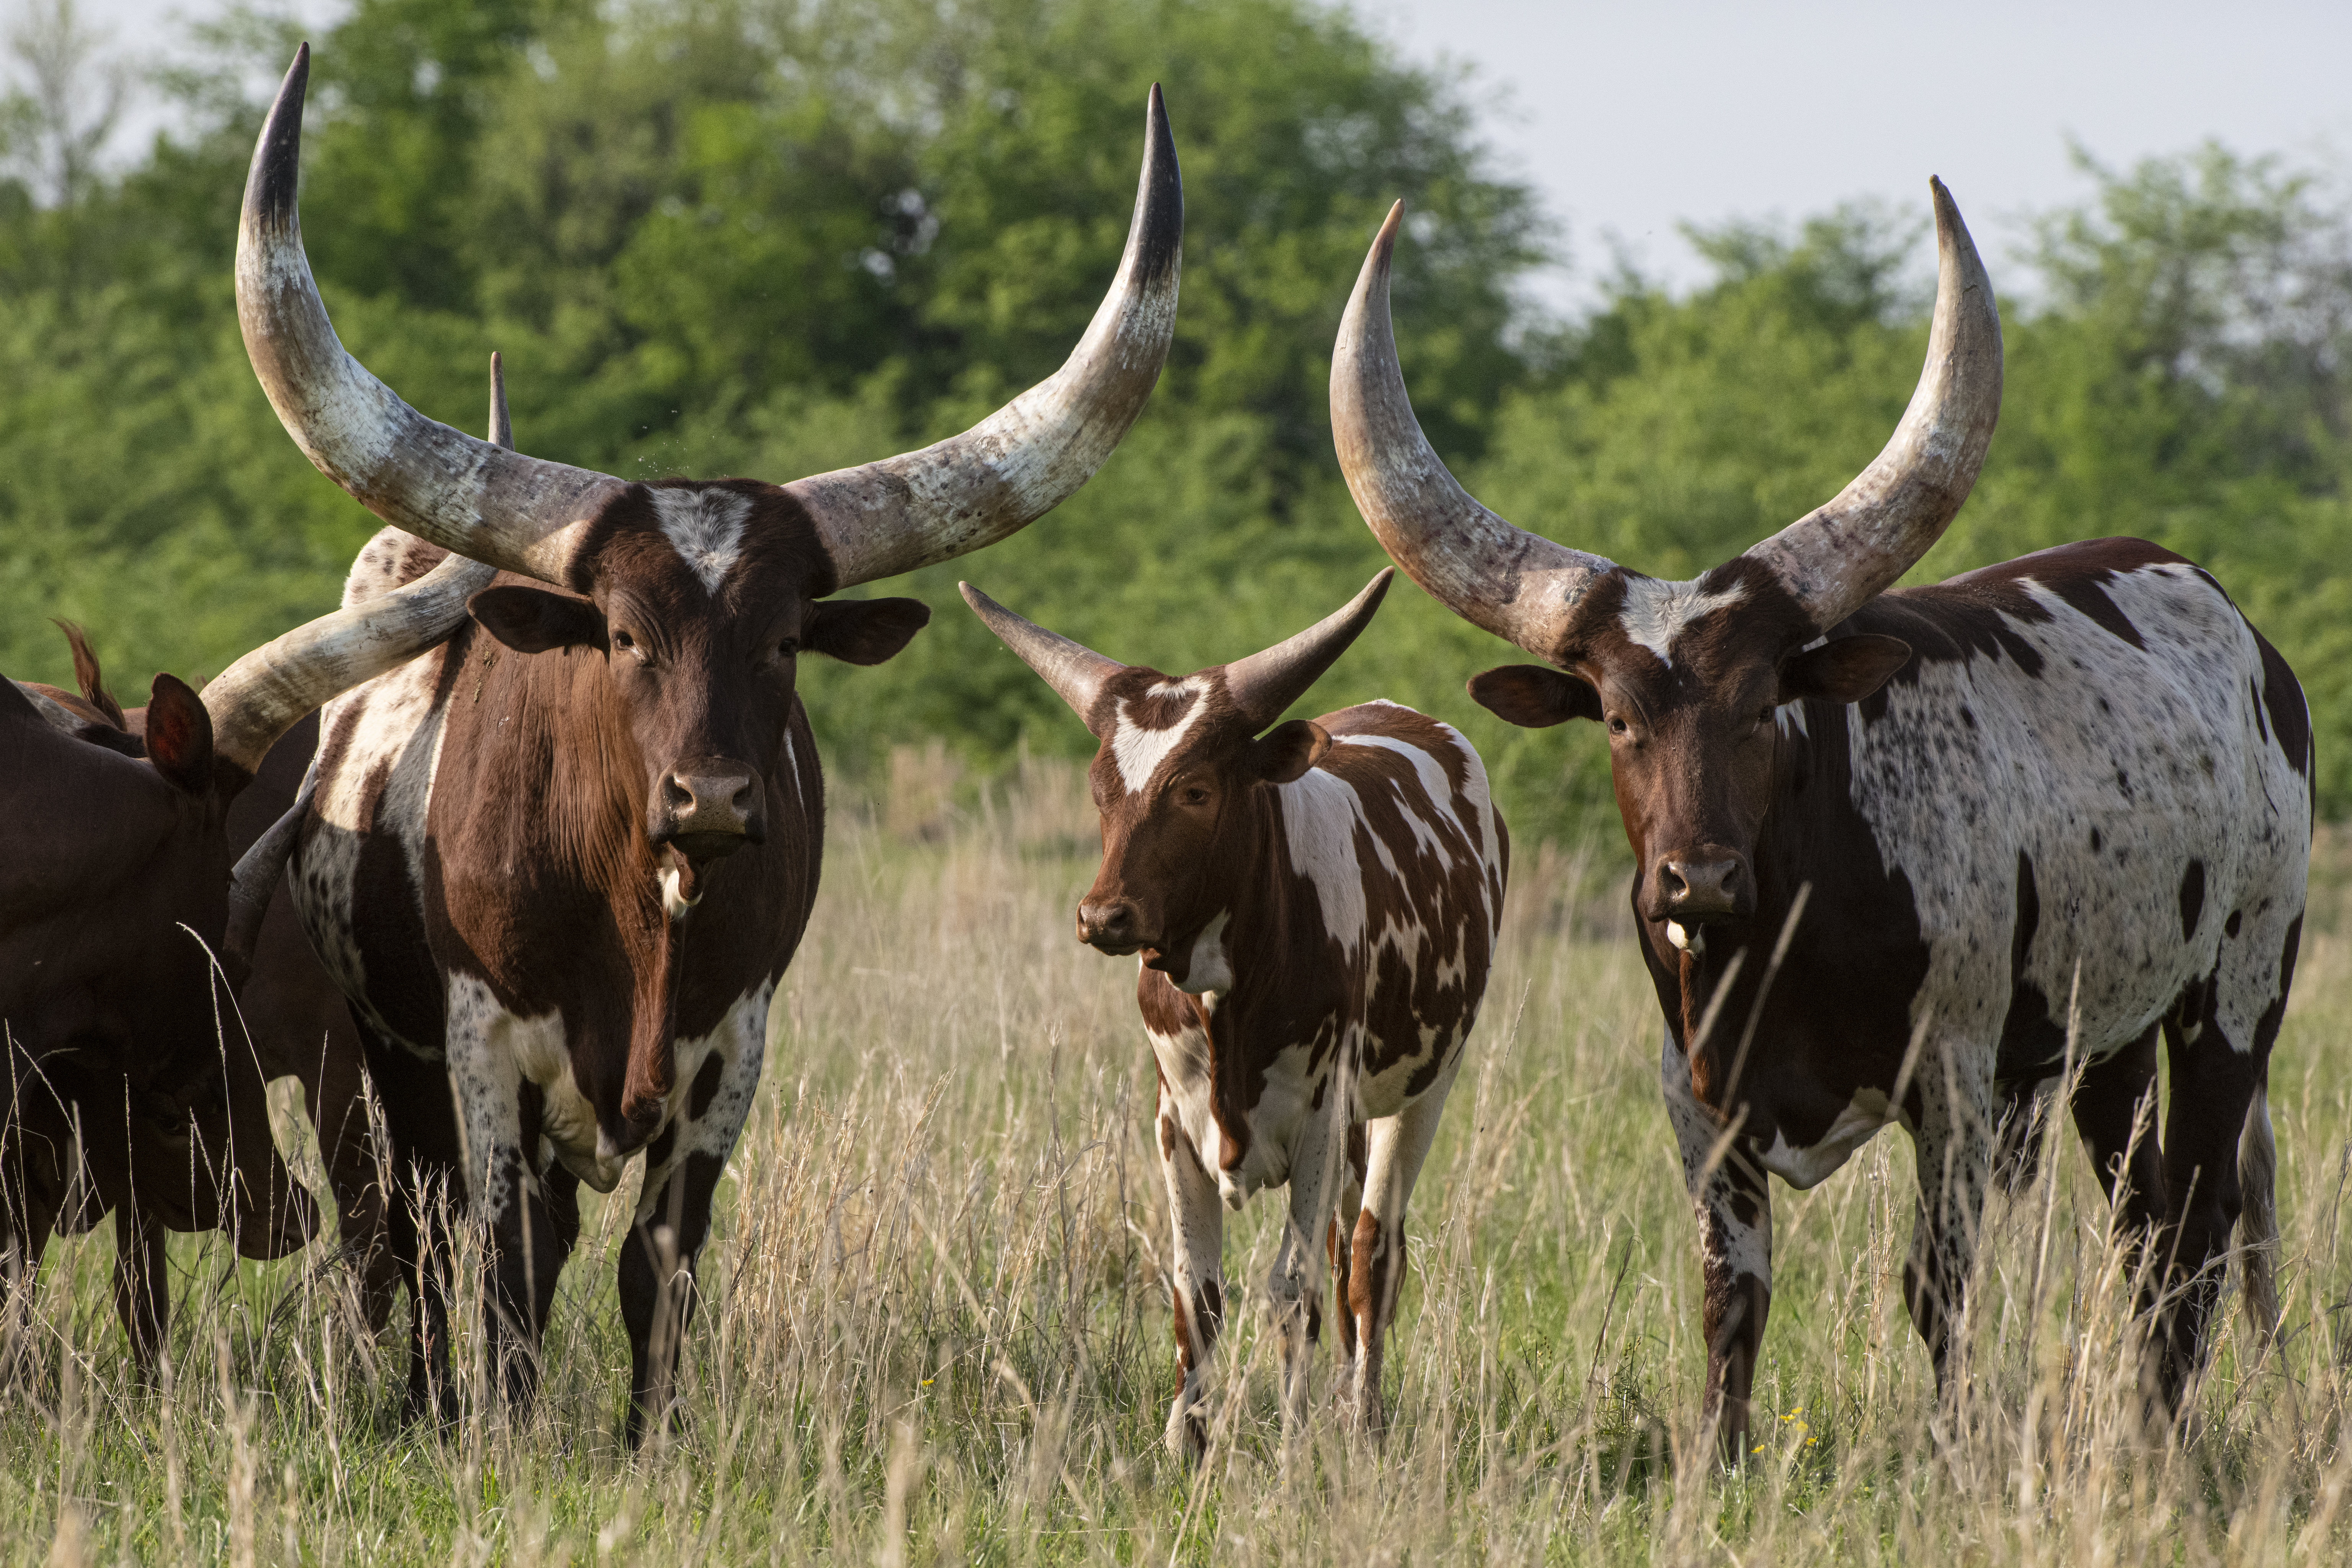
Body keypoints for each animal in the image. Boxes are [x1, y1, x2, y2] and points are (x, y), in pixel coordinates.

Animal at [241, 43, 1185, 1439]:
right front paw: (502, 1431)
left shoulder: (733, 1046)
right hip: (389, 1060)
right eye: (623, 635)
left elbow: (660, 1261)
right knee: (417, 1233)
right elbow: (495, 1250)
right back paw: (433, 1399)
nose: (716, 800)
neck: (637, 908)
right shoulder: (480, 1043)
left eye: (787, 638)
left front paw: (652, 1437)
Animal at [959, 573, 1496, 1457]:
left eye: (1196, 790)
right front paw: (1187, 1437)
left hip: (1423, 1088)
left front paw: (1291, 1445)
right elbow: (1195, 1288)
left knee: (1369, 1255)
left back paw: (1362, 1419)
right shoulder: (1173, 1120)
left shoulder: (1320, 1116)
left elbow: (1290, 1287)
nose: (1102, 916)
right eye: (1100, 791)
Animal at [1345, 177, 2314, 1457]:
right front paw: (1721, 1463)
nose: (1697, 881)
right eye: (1616, 718)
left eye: (1765, 705)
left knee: (2198, 1222)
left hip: (2233, 995)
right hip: (2105, 1042)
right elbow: (1731, 1295)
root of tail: (2244, 634)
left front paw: (1952, 1454)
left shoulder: (1954, 1081)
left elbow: (1937, 1286)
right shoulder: (1698, 1099)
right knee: (2146, 1225)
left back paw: (2168, 1443)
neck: (1782, 939)